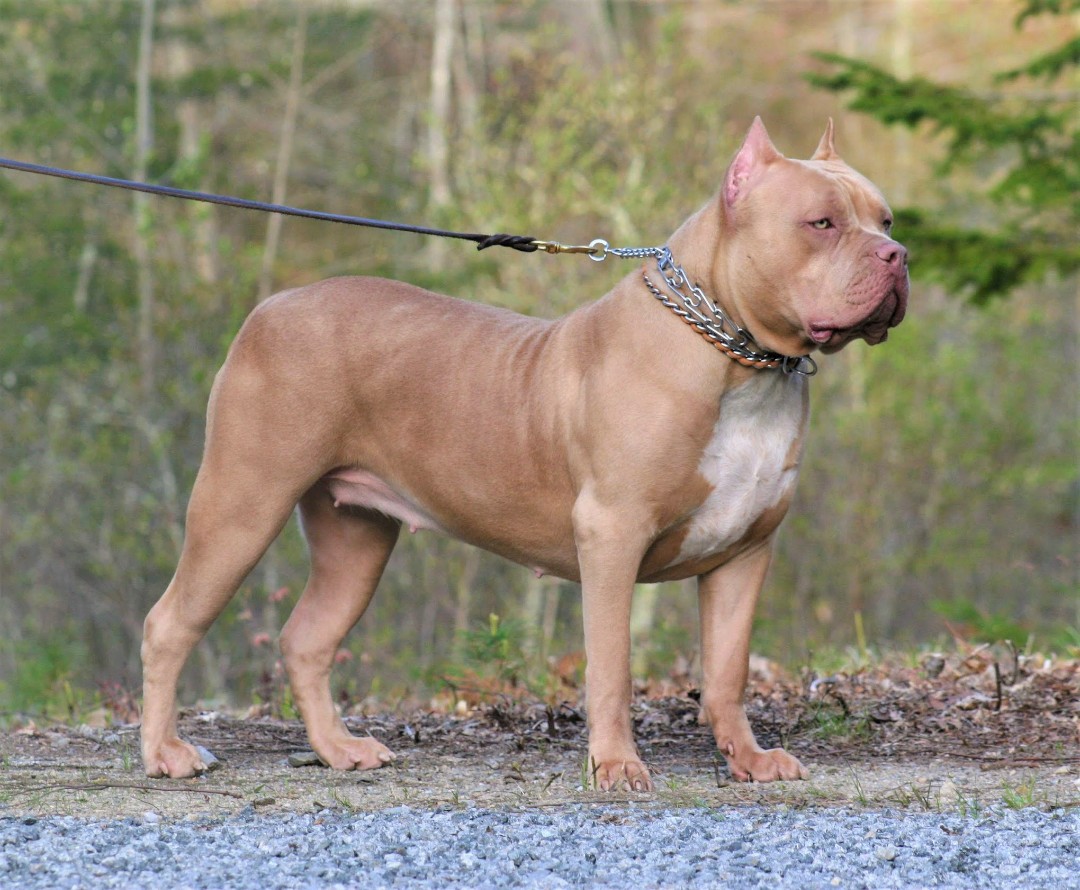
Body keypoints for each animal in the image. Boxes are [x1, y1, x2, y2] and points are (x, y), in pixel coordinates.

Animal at [141, 118, 907, 790]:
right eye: (822, 223)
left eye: (887, 220)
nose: (898, 257)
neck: (741, 358)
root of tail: (271, 307)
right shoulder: (612, 535)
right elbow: (612, 666)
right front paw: (616, 766)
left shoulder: (744, 553)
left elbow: (726, 672)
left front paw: (747, 759)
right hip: (242, 503)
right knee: (169, 624)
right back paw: (167, 754)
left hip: (355, 538)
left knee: (307, 640)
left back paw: (338, 749)